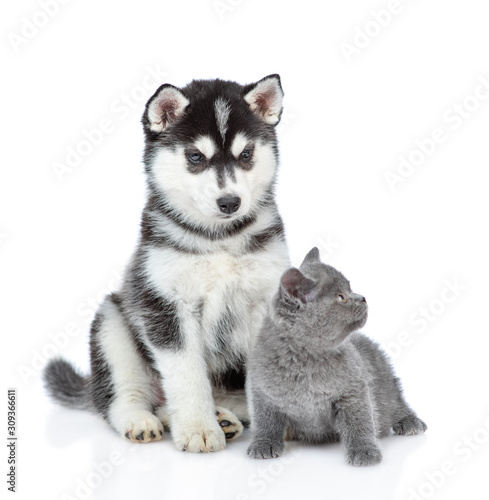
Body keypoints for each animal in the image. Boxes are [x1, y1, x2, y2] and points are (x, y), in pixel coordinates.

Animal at [43, 74, 290, 454]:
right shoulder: (165, 305)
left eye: (246, 154)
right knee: (120, 397)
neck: (218, 238)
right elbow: (186, 374)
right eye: (195, 156)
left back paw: (227, 417)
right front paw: (198, 428)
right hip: (112, 322)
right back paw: (144, 420)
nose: (230, 202)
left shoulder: (267, 302)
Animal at [246, 248, 426, 466]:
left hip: (384, 377)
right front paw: (263, 443)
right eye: (341, 297)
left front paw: (364, 450)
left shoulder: (353, 391)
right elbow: (265, 421)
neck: (307, 361)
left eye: (350, 288)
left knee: (395, 399)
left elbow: (359, 422)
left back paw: (409, 421)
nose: (362, 297)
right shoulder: (262, 392)